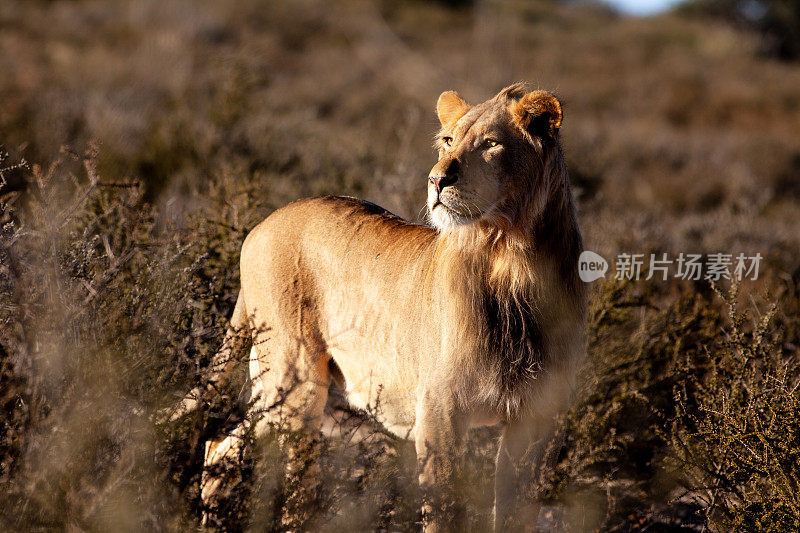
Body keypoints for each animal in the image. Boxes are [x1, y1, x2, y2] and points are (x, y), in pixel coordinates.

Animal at [180, 82, 588, 528]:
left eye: (491, 144)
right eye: (448, 141)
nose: (436, 179)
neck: (512, 262)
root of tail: (257, 228)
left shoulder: (534, 419)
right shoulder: (439, 413)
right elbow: (443, 513)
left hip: (276, 384)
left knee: (220, 444)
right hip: (295, 381)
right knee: (284, 485)